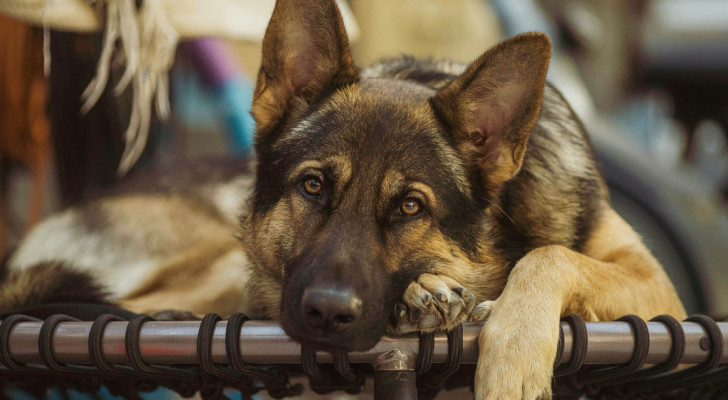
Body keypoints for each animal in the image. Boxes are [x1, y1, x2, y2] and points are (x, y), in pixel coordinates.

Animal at [1, 0, 688, 396]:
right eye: (312, 186)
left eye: (411, 207)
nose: (328, 314)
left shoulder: (659, 289)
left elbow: (551, 257)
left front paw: (510, 351)